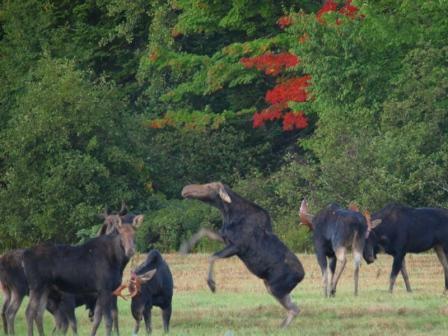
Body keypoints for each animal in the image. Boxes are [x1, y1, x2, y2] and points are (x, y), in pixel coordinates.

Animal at [181, 182, 304, 326]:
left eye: (210, 186)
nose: (186, 189)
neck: (228, 213)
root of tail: (302, 276)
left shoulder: (237, 246)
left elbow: (212, 256)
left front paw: (212, 284)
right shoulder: (225, 238)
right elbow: (204, 230)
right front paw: (184, 248)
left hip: (276, 287)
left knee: (294, 308)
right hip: (272, 286)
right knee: (295, 307)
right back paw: (281, 326)